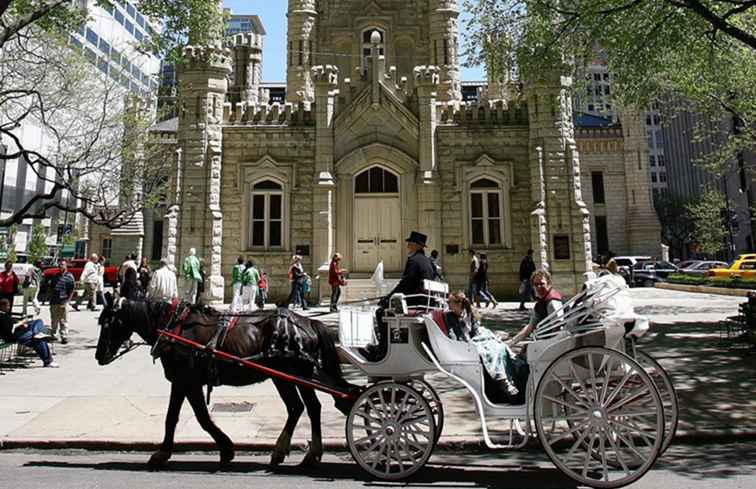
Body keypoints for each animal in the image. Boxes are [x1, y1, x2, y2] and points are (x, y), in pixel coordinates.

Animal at [95, 294, 354, 468]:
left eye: (107, 322)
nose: (99, 356)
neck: (173, 327)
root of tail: (309, 322)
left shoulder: (186, 380)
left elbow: (197, 417)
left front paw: (225, 449)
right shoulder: (182, 381)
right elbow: (177, 417)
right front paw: (166, 452)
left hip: (296, 374)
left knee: (310, 407)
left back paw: (309, 454)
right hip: (285, 376)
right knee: (299, 407)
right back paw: (286, 452)